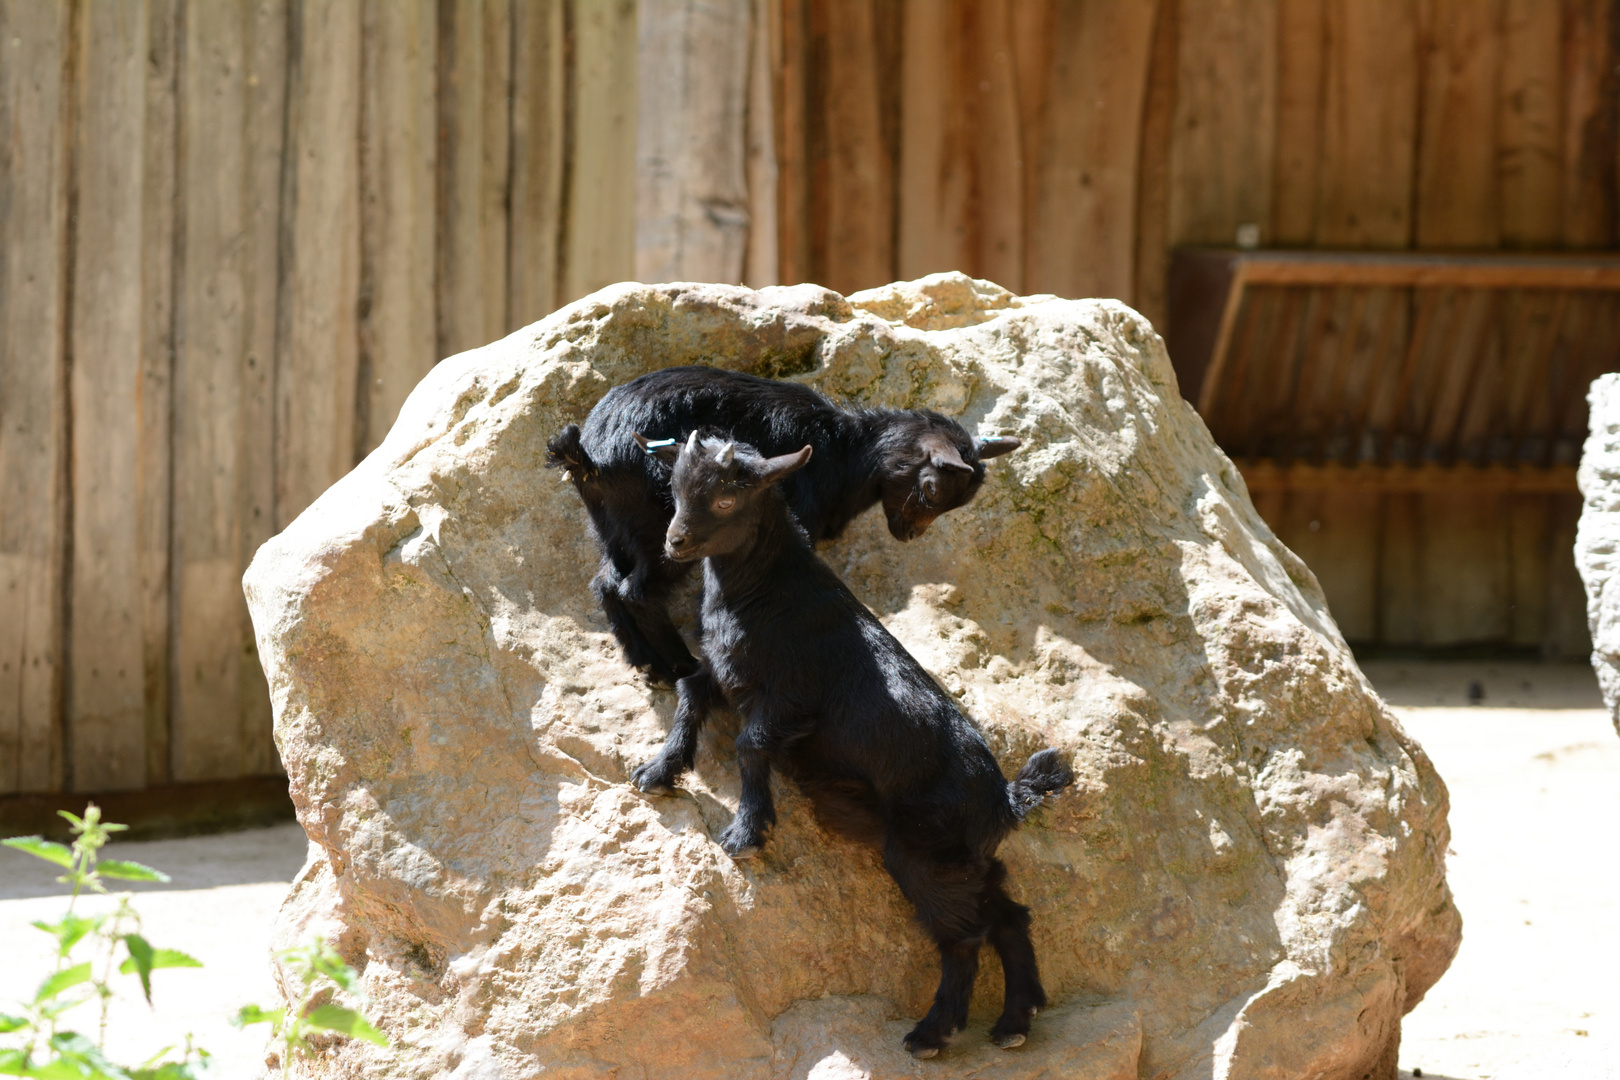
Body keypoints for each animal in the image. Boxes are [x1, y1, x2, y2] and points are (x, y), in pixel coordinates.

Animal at [550, 362, 1017, 683]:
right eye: (932, 489)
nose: (912, 534)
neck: (845, 450)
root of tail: (592, 457)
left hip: (614, 527)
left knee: (606, 584)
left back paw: (648, 664)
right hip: (665, 529)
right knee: (637, 591)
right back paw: (679, 664)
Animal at [635, 427, 1075, 1055]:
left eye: (725, 499)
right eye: (673, 488)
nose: (675, 543)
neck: (768, 591)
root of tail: (1006, 801)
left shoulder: (790, 695)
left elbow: (750, 745)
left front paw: (747, 831)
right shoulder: (724, 672)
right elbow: (689, 692)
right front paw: (658, 770)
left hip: (924, 854)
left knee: (964, 937)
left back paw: (933, 1032)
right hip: (966, 857)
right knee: (1010, 914)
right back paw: (1015, 1021)